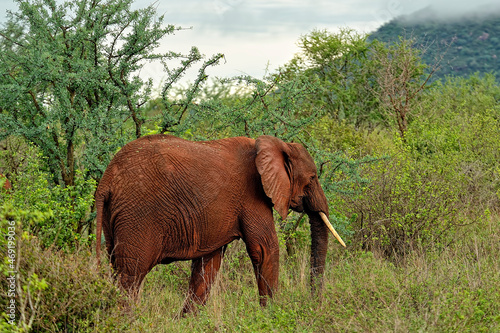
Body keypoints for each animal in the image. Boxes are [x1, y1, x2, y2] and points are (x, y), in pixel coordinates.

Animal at [95, 134, 346, 312]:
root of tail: (106, 179)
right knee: (131, 275)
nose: (314, 304)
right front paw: (271, 316)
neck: (276, 144)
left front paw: (187, 321)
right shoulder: (252, 195)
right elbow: (265, 249)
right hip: (138, 215)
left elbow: (208, 266)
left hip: (114, 215)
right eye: (312, 178)